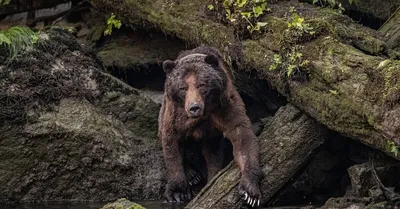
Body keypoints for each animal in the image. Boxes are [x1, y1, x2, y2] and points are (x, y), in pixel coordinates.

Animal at [158, 45, 264, 207]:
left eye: (201, 85)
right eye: (182, 88)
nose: (194, 107)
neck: (203, 114)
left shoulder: (225, 107)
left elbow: (243, 138)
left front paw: (250, 192)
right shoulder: (176, 115)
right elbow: (171, 142)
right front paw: (177, 193)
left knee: (212, 153)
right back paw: (192, 175)